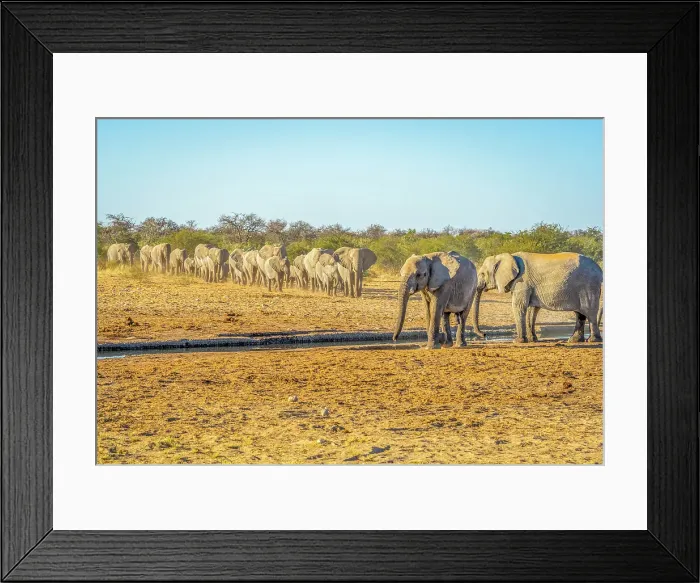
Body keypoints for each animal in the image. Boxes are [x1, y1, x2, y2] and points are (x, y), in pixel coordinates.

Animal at [473, 252, 603, 343]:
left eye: (482, 274)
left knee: (589, 311)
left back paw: (592, 340)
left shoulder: (522, 282)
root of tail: (600, 270)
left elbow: (519, 306)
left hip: (588, 285)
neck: (508, 256)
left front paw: (518, 341)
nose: (484, 335)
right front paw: (532, 340)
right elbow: (533, 309)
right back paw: (573, 340)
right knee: (580, 313)